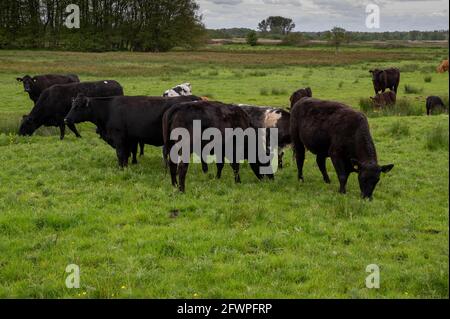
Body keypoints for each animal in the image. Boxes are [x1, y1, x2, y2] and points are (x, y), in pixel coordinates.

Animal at [64, 94, 201, 168]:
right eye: (72, 105)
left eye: (78, 107)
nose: (66, 119)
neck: (109, 109)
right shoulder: (130, 139)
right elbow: (128, 153)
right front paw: (127, 165)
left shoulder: (118, 138)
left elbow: (120, 153)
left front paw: (121, 168)